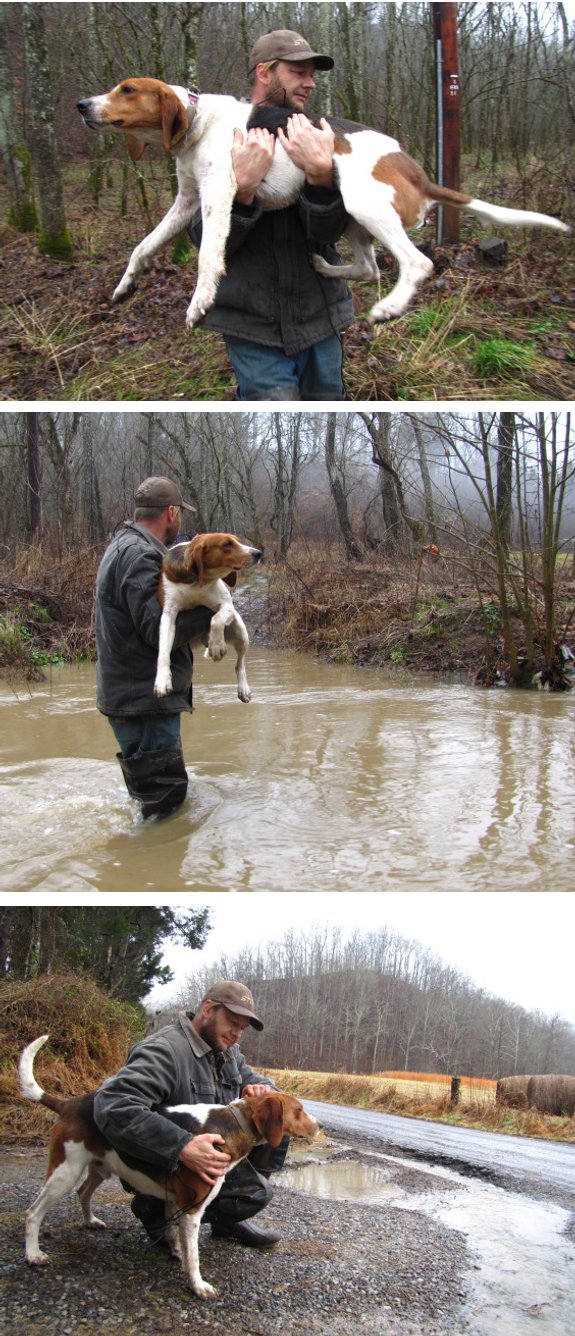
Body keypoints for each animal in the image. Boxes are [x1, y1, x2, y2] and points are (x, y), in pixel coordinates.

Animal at [19, 1031, 319, 1303]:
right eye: (299, 1110)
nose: (319, 1126)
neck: (233, 1123)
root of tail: (70, 1103)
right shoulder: (193, 1208)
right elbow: (194, 1256)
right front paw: (198, 1285)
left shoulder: (176, 1200)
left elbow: (175, 1234)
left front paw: (175, 1252)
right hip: (64, 1172)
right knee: (33, 1212)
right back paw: (33, 1254)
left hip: (100, 1167)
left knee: (83, 1193)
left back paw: (90, 1221)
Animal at [77, 78, 569, 328]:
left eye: (126, 89)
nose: (81, 104)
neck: (196, 120)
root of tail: (418, 172)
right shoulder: (186, 202)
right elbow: (142, 248)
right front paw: (124, 285)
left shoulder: (218, 195)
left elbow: (207, 260)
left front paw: (200, 301)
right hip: (351, 215)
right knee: (368, 269)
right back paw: (325, 268)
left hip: (363, 203)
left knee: (417, 264)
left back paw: (389, 307)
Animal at [152, 529, 263, 705]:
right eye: (227, 544)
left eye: (237, 541)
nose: (258, 553)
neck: (196, 583)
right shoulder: (168, 614)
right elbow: (163, 652)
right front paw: (162, 680)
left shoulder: (227, 606)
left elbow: (216, 619)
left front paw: (217, 646)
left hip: (241, 633)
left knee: (239, 665)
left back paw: (243, 687)